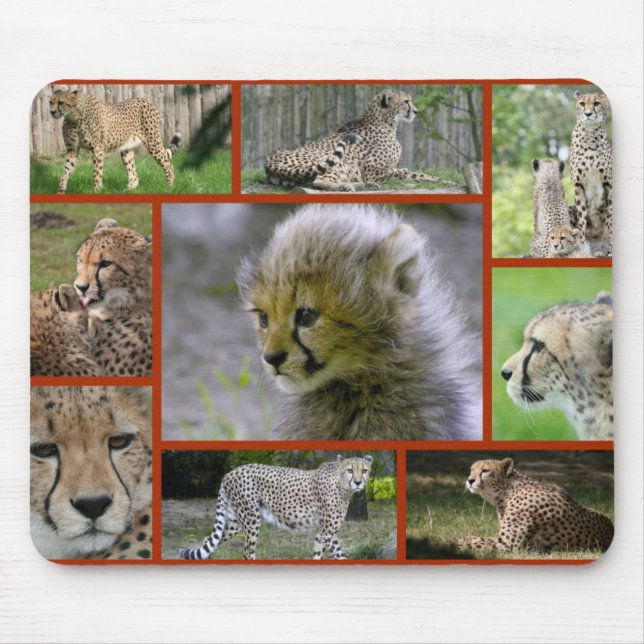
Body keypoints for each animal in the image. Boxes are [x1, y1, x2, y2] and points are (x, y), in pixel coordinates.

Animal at [49, 88, 181, 193]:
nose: (52, 112)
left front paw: (96, 191)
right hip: (126, 150)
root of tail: (146, 100)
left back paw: (169, 187)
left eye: (61, 102)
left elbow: (97, 173)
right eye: (50, 102)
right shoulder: (72, 150)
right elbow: (65, 171)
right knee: (134, 175)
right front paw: (61, 190)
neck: (74, 117)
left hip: (153, 143)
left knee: (168, 165)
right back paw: (127, 190)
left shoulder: (97, 149)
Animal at [179, 455, 373, 560]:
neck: (342, 486)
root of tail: (230, 473)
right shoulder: (327, 532)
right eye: (350, 470)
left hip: (235, 523)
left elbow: (323, 554)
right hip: (251, 520)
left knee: (208, 540)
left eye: (364, 470)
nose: (358, 482)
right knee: (247, 553)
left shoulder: (323, 533)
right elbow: (335, 555)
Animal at [264, 89, 448, 192]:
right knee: (318, 181)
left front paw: (445, 180)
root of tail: (269, 160)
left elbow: (419, 174)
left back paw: (362, 185)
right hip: (336, 163)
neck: (387, 122)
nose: (416, 111)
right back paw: (348, 186)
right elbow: (402, 172)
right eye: (406, 101)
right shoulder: (372, 172)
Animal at [456, 458, 614, 554]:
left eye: (485, 471)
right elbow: (470, 538)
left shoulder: (506, 544)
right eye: (471, 470)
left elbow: (473, 542)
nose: (469, 480)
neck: (507, 492)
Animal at [569, 90, 612, 256]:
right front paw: (581, 247)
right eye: (582, 104)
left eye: (596, 103)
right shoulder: (578, 185)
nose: (588, 114)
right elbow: (582, 218)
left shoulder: (609, 184)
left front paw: (611, 250)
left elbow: (611, 219)